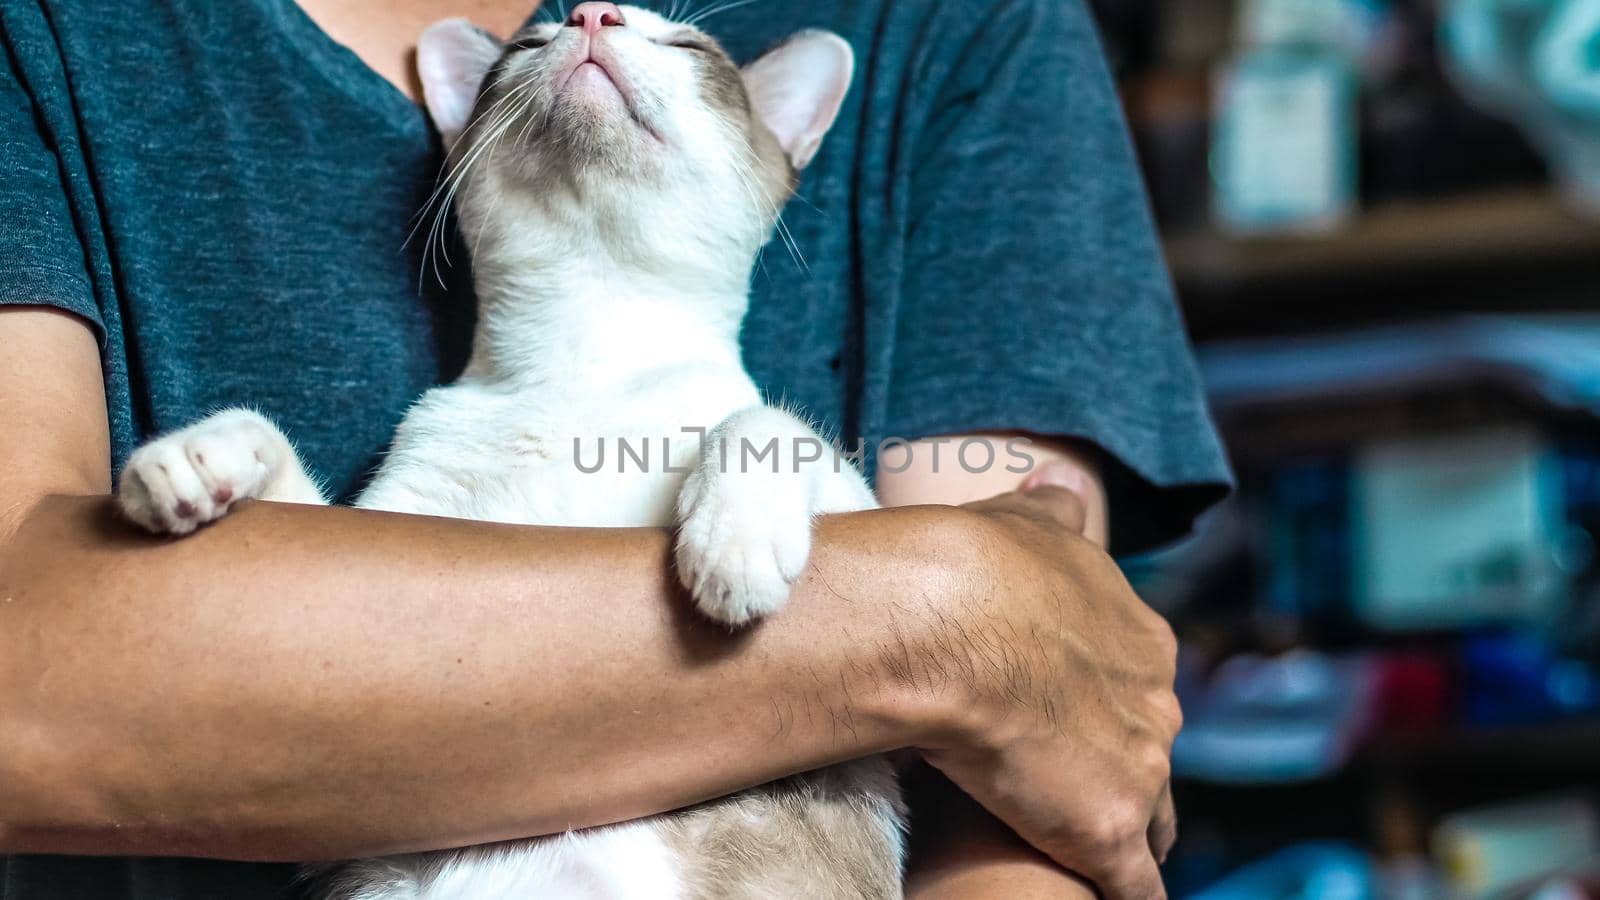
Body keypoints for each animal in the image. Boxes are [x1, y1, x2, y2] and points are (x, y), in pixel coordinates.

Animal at [114, 3, 908, 890]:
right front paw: (195, 456)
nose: (593, 12)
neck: (584, 360)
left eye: (686, 45)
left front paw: (731, 546)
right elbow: (266, 435)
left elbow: (767, 424)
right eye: (531, 43)